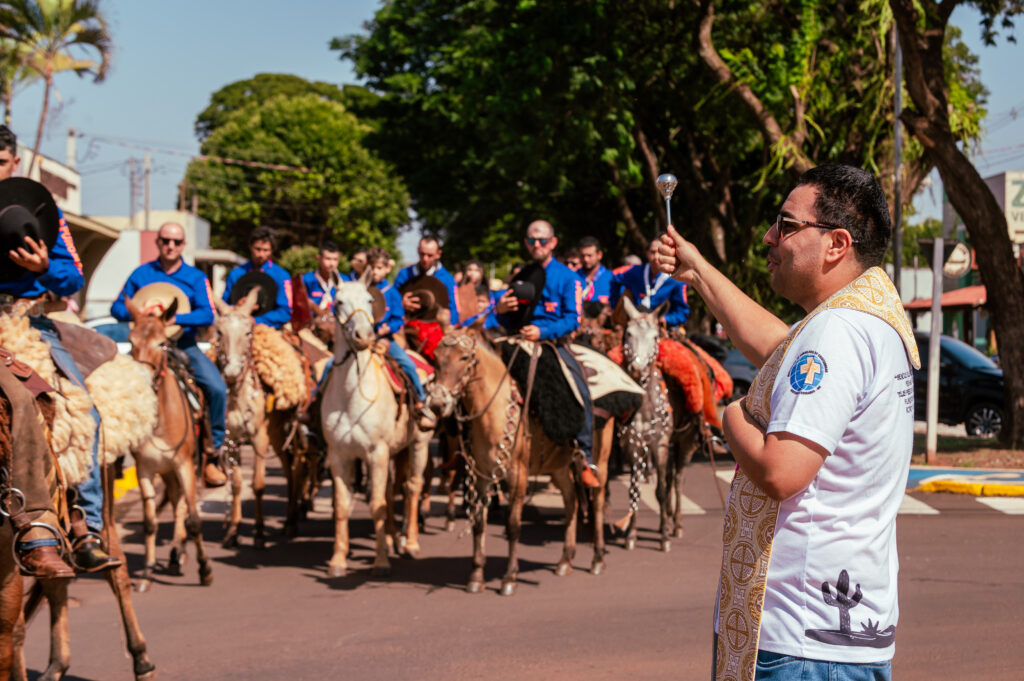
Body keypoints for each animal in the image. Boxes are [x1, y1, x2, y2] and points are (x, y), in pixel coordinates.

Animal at [122, 296, 212, 589]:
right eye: (131, 341)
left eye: (162, 343)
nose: (141, 382)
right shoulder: (145, 470)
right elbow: (150, 522)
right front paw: (148, 571)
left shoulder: (185, 465)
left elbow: (194, 518)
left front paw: (205, 569)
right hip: (168, 472)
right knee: (175, 501)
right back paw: (176, 552)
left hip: (186, 467)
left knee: (182, 504)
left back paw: (180, 552)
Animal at [207, 288, 303, 548]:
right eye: (219, 332)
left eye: (248, 332)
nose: (231, 372)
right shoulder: (231, 442)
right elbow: (238, 485)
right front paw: (233, 531)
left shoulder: (260, 439)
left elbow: (258, 485)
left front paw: (259, 533)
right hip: (277, 439)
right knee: (288, 469)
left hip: (283, 434)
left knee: (293, 470)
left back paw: (292, 522)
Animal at [319, 274, 432, 577]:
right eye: (338, 301)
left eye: (370, 300)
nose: (364, 336)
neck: (351, 395)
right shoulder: (339, 455)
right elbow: (343, 506)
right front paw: (337, 560)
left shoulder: (376, 452)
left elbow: (377, 505)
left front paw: (380, 562)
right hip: (394, 452)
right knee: (393, 490)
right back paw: (393, 539)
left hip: (419, 445)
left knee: (412, 487)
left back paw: (411, 544)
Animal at [423, 321, 614, 593]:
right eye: (436, 358)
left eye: (464, 357)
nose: (438, 404)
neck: (494, 409)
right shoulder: (482, 475)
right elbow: (478, 523)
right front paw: (476, 576)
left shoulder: (517, 475)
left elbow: (513, 525)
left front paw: (509, 577)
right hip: (559, 467)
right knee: (572, 501)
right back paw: (565, 560)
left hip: (601, 459)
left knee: (596, 502)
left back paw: (597, 559)